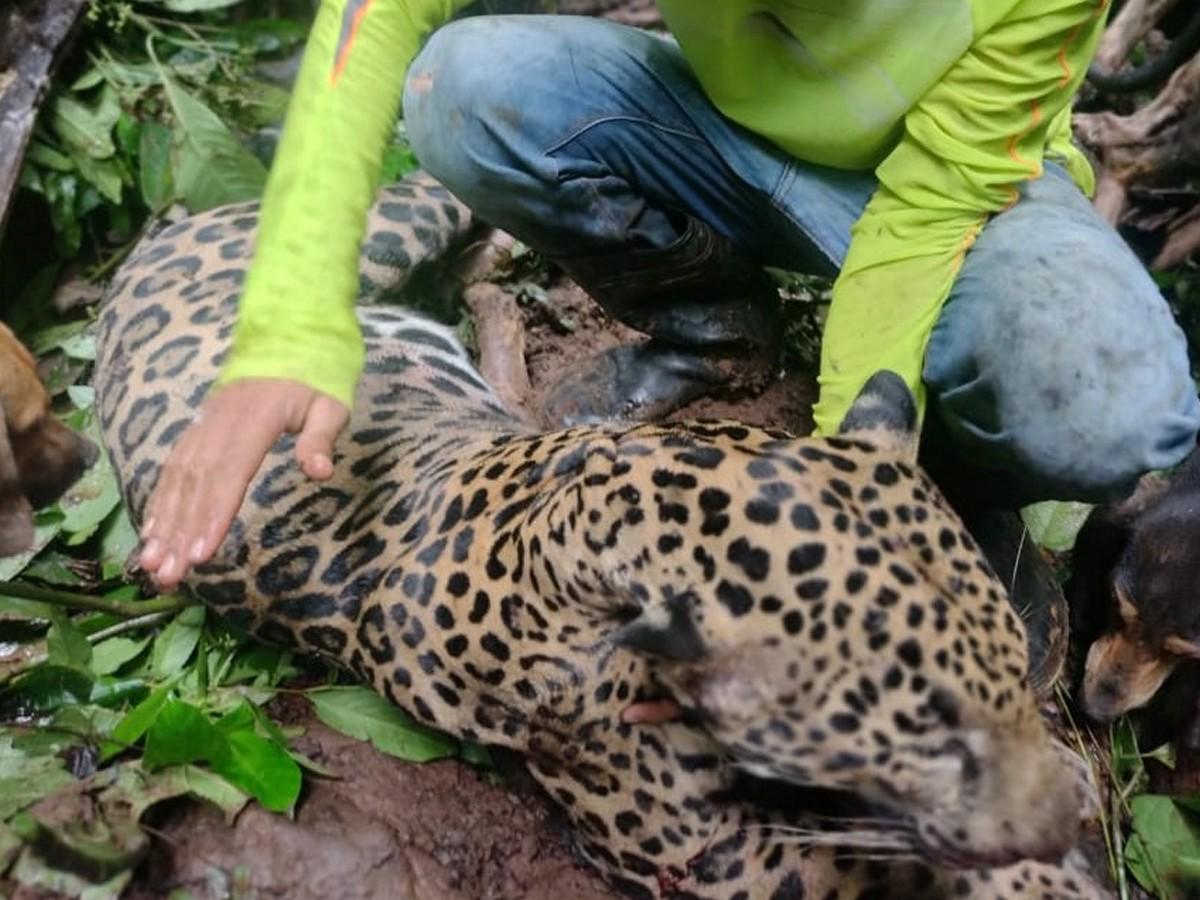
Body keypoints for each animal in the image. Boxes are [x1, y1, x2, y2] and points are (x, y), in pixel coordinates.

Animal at [93, 172, 1109, 900]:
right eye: (932, 738)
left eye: (1009, 670)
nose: (1061, 819)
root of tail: (137, 260)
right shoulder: (708, 853)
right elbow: (881, 866)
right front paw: (1040, 867)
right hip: (370, 228)